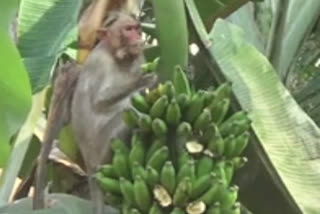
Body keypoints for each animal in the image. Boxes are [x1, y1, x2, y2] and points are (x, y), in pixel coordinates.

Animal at [71, 11, 158, 214]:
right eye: (128, 29)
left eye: (137, 28)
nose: (138, 38)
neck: (118, 56)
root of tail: (89, 162)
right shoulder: (98, 62)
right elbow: (99, 100)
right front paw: (141, 80)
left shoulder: (139, 57)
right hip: (102, 150)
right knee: (128, 114)